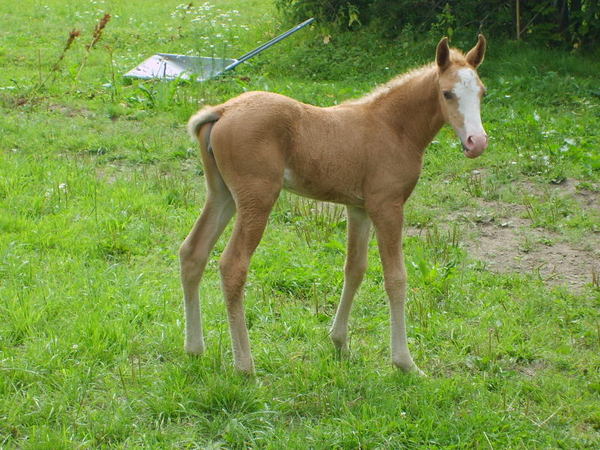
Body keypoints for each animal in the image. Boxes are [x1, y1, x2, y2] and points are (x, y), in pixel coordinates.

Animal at [179, 35, 488, 374]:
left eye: (482, 92)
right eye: (447, 93)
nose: (477, 142)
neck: (392, 126)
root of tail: (222, 110)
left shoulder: (359, 208)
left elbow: (355, 269)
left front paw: (340, 343)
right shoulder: (387, 206)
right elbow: (396, 278)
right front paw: (405, 363)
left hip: (221, 194)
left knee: (192, 252)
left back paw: (194, 349)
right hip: (257, 198)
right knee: (232, 265)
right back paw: (245, 365)